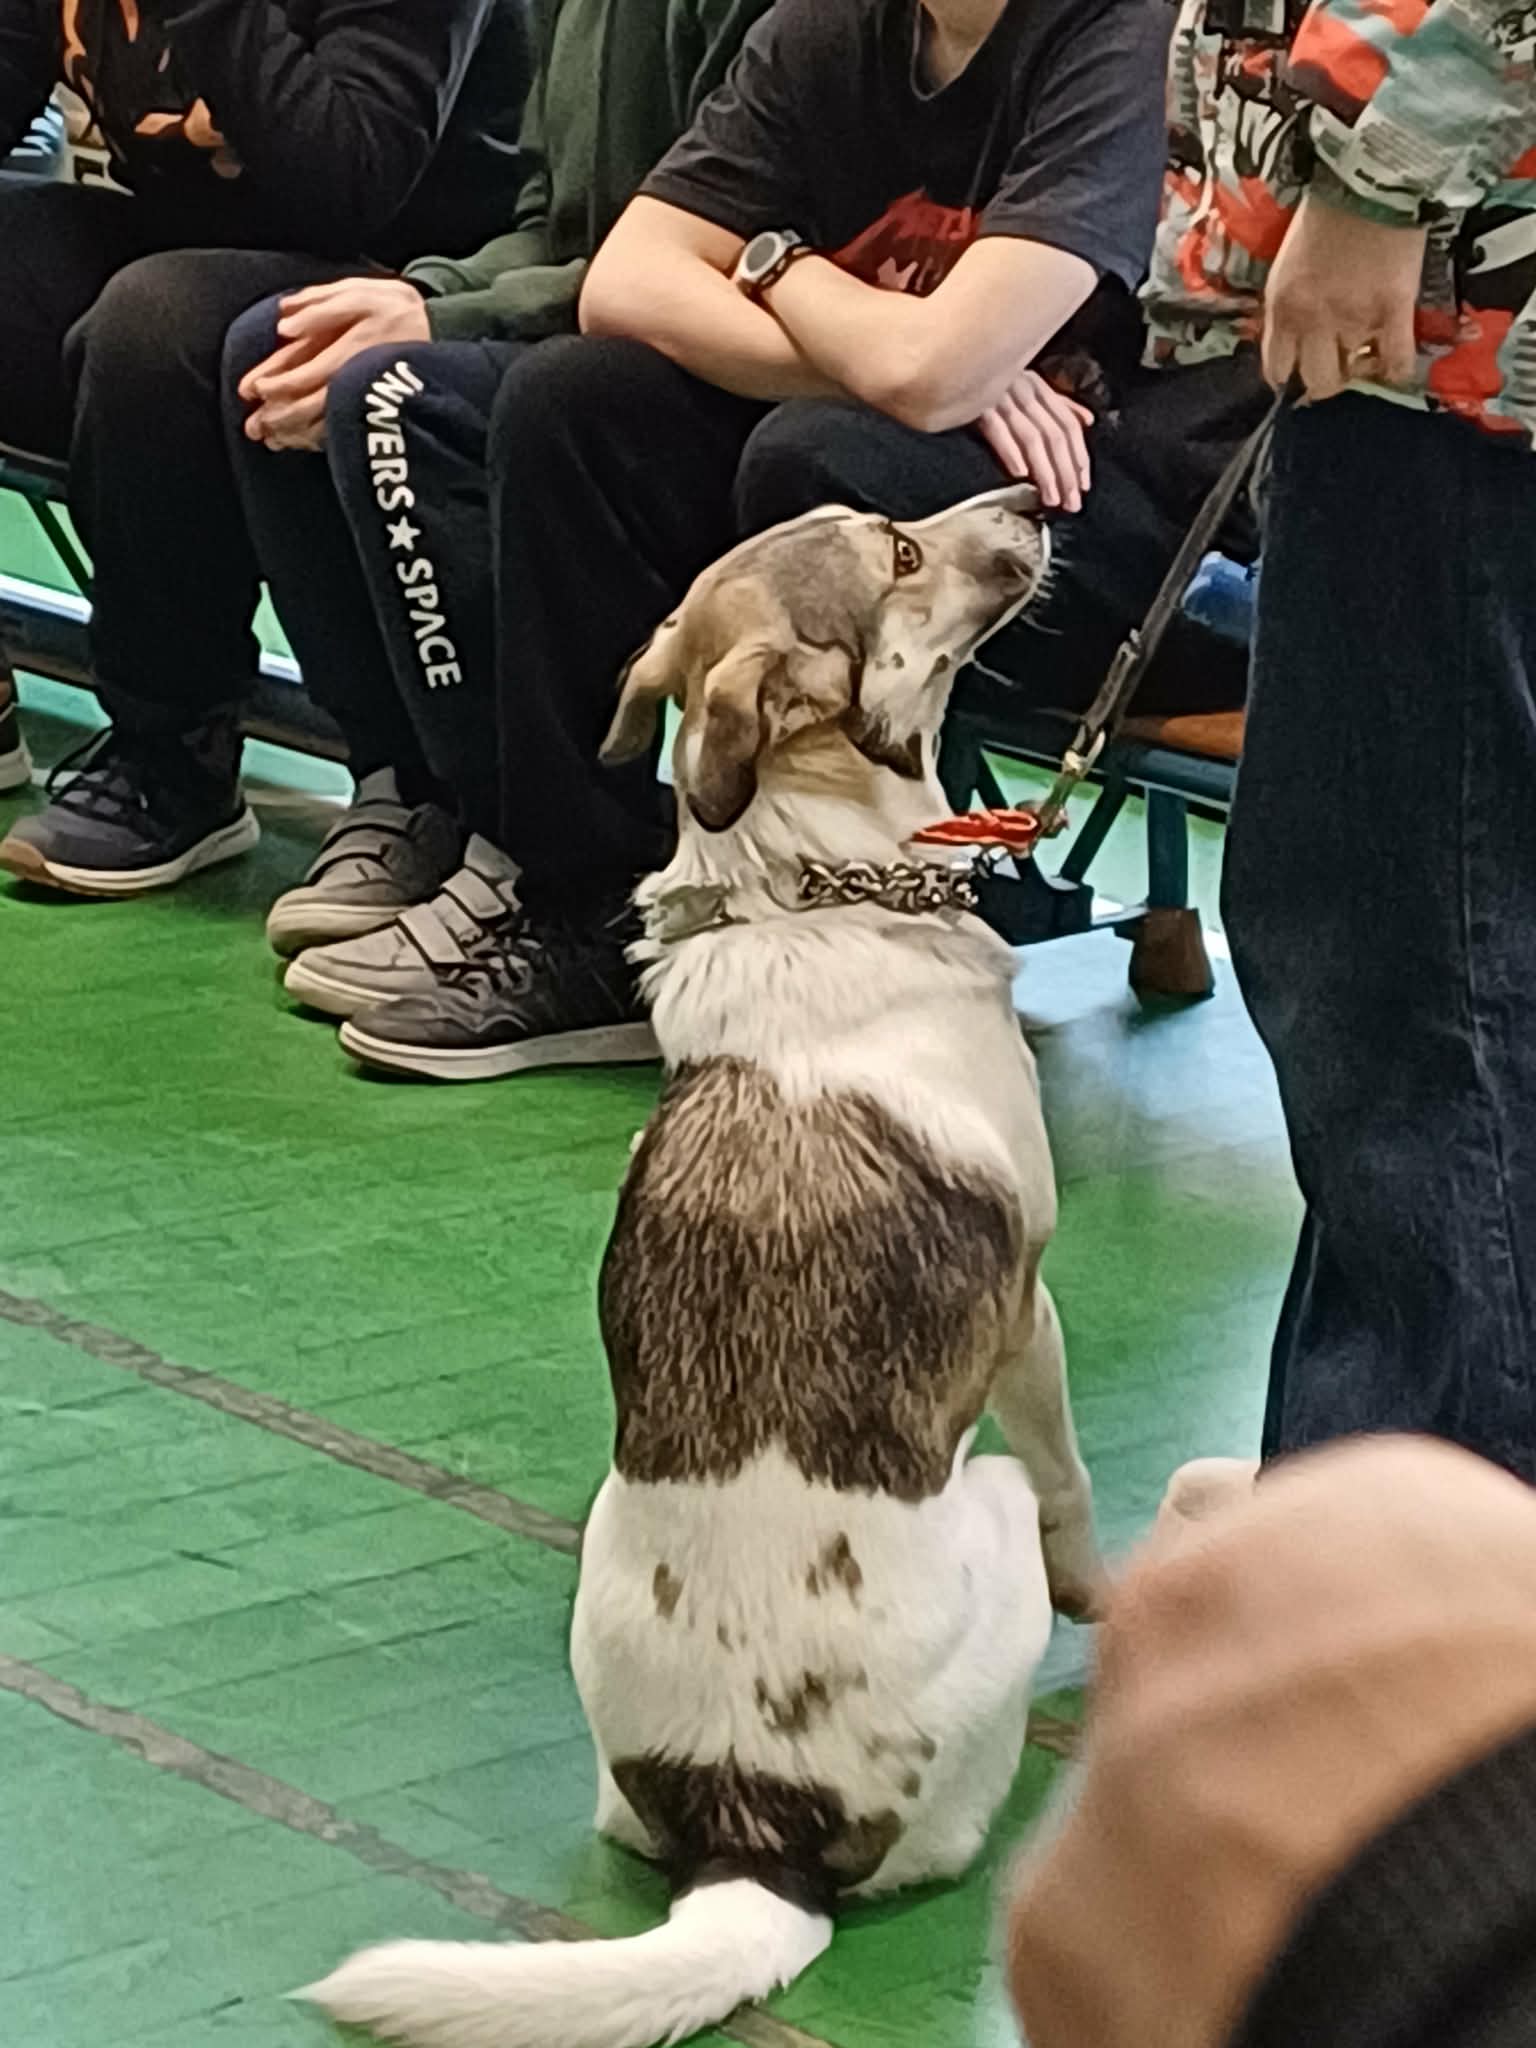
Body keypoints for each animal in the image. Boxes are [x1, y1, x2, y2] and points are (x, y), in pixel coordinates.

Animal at [303, 485, 1102, 2048]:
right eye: (898, 552)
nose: (1035, 497)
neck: (807, 886)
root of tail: (754, 1833)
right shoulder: (1027, 1315)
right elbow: (1076, 1483)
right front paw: (1116, 1583)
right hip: (975, 1503)